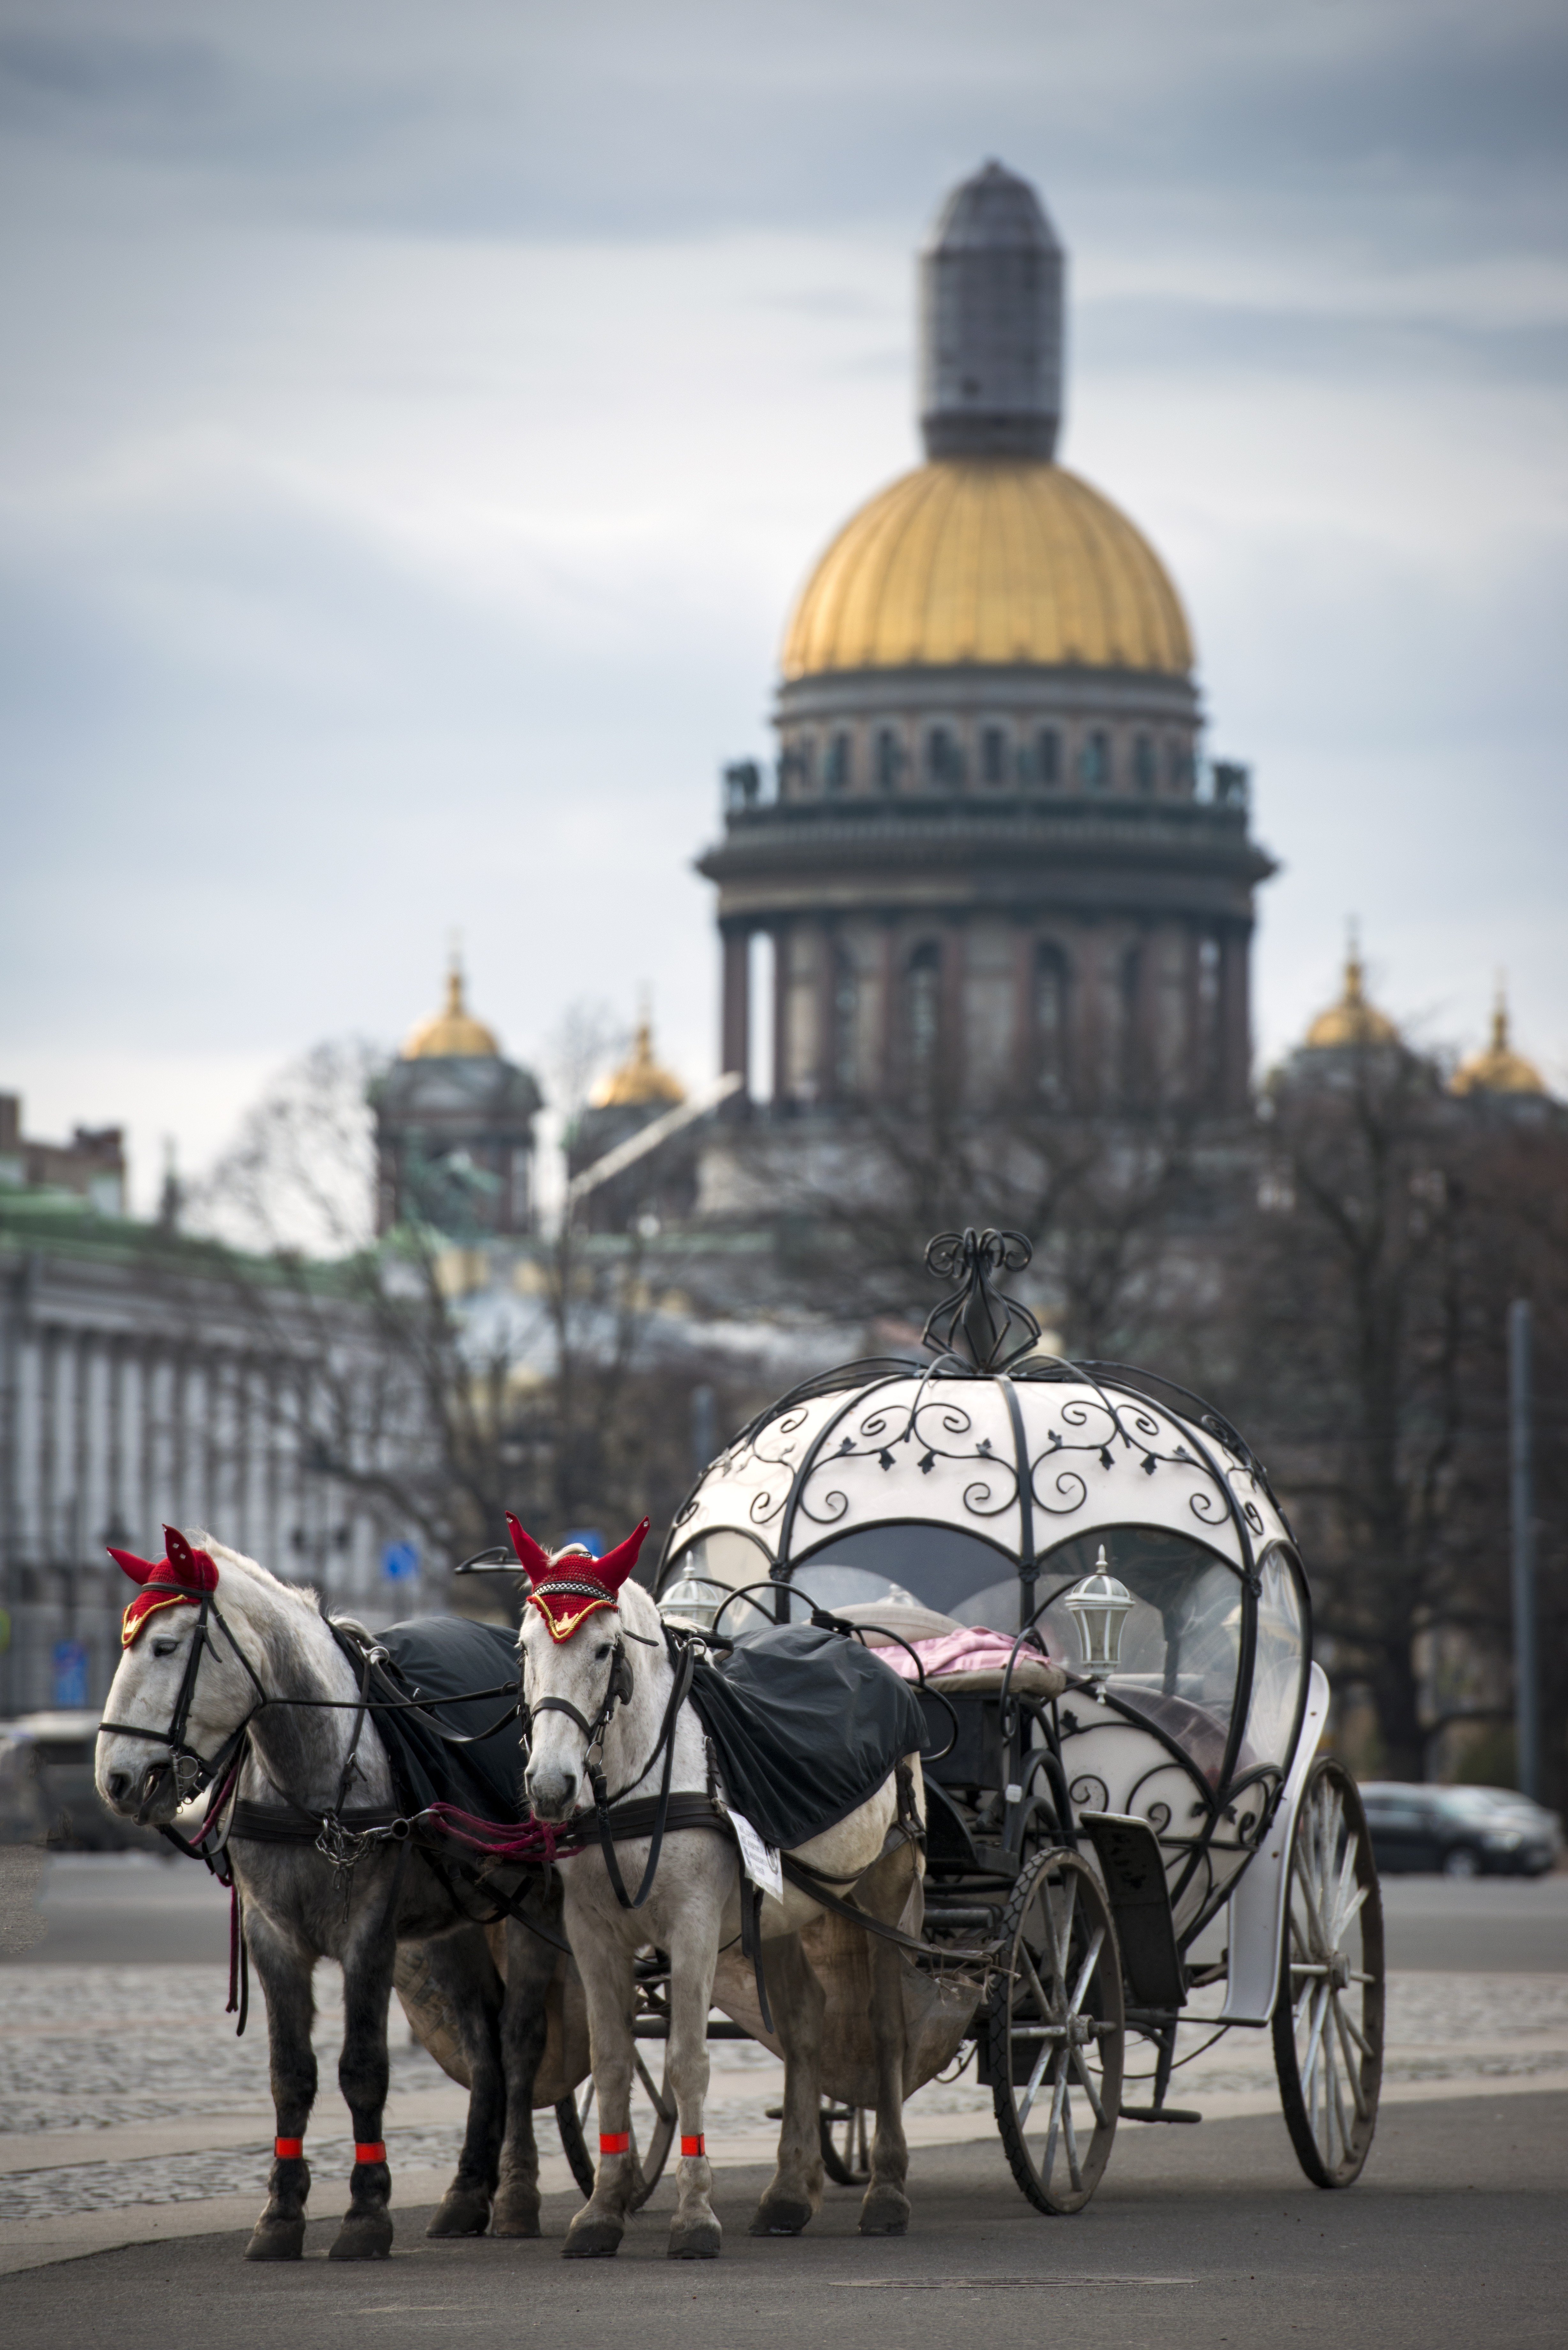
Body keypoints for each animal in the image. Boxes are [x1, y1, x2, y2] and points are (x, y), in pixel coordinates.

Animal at [93, 1523, 557, 2256]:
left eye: (165, 1646)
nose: (115, 1778)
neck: (309, 1777)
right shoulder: (271, 1937)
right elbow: (291, 2073)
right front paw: (281, 2212)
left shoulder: (368, 1936)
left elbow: (362, 2069)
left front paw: (366, 2211)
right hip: (452, 1927)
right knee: (483, 2046)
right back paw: (465, 2193)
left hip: (529, 1907)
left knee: (519, 2040)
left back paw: (515, 2193)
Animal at [515, 1513, 931, 2265]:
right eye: (525, 1646)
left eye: (603, 1650)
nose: (551, 1785)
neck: (632, 1786)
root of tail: (852, 1639)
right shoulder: (592, 1932)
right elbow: (612, 2063)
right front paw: (603, 2209)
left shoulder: (694, 1927)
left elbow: (686, 2063)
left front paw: (693, 2215)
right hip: (784, 1908)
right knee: (804, 2023)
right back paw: (789, 2191)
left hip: (885, 1886)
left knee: (886, 2028)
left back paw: (886, 2189)